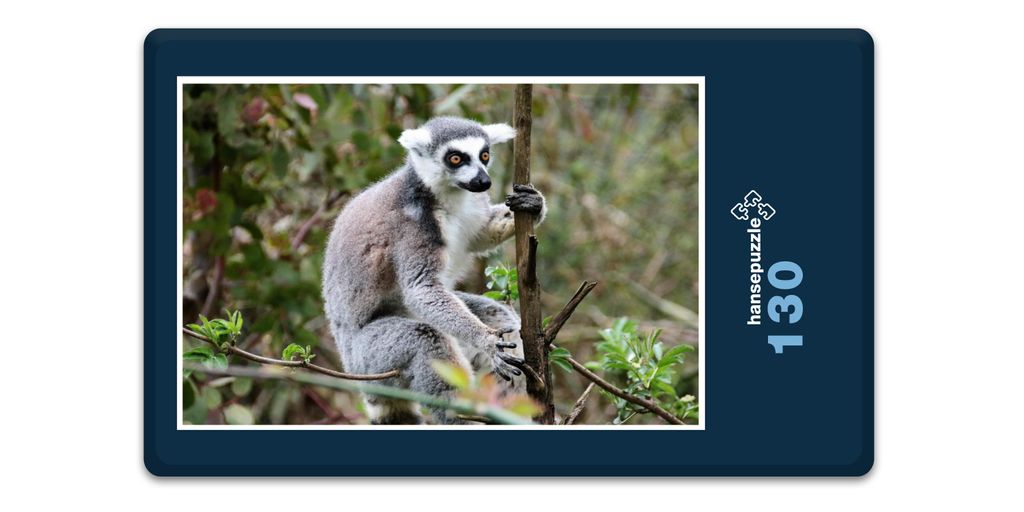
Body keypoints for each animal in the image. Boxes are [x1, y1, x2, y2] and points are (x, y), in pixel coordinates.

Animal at [322, 116, 546, 425]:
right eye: (455, 158)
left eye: (484, 155)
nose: (483, 181)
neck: (447, 196)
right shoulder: (413, 226)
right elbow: (422, 289)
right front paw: (487, 340)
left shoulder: (472, 209)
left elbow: (481, 234)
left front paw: (533, 204)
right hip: (370, 358)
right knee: (426, 340)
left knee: (498, 316)